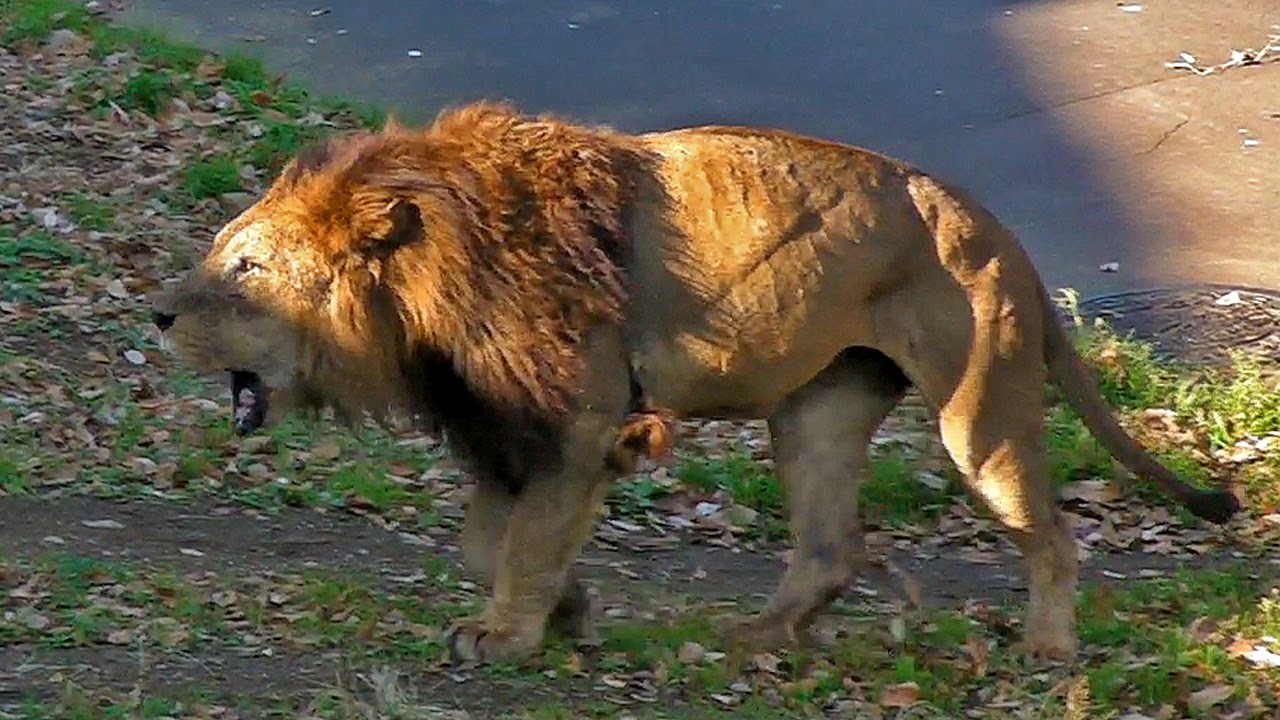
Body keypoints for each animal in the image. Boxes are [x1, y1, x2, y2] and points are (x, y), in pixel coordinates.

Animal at [151, 101, 1240, 665]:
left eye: (245, 268)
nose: (157, 316)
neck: (422, 290)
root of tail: (1000, 231)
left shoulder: (576, 420)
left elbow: (524, 541)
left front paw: (511, 633)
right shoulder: (505, 426)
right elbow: (485, 543)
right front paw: (568, 612)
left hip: (978, 411)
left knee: (1050, 534)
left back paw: (1047, 649)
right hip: (817, 414)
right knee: (831, 546)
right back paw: (761, 633)